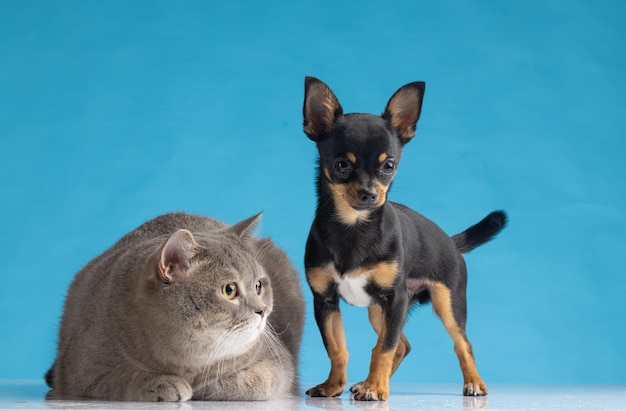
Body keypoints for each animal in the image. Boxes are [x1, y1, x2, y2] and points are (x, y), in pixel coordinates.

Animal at [45, 212, 304, 402]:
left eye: (259, 285)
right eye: (229, 290)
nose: (263, 310)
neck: (187, 359)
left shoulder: (280, 365)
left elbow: (258, 380)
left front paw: (207, 386)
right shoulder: (79, 373)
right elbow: (123, 377)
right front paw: (163, 383)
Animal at [302, 75, 508, 400]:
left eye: (388, 166)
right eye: (341, 165)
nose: (369, 194)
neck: (353, 227)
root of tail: (451, 241)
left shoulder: (394, 299)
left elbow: (382, 349)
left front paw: (375, 388)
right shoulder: (325, 301)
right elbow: (338, 349)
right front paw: (333, 386)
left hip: (446, 304)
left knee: (461, 343)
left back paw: (473, 382)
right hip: (379, 311)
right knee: (403, 344)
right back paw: (366, 382)